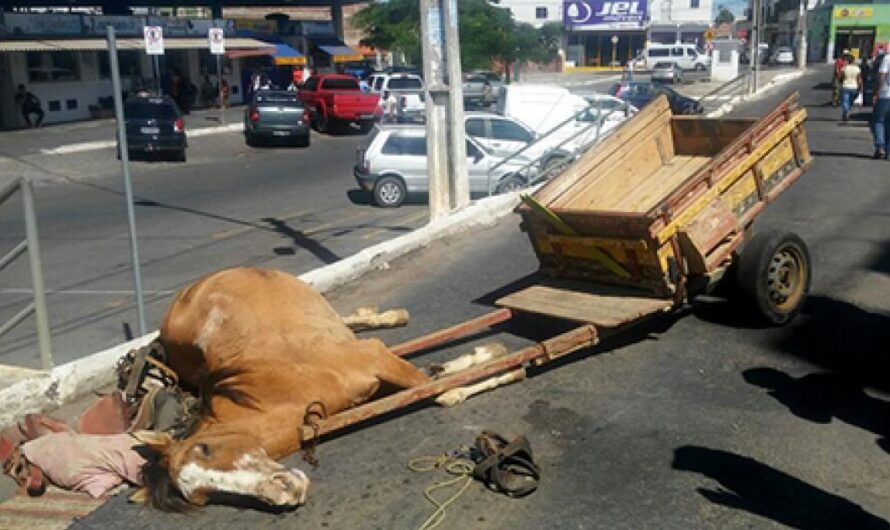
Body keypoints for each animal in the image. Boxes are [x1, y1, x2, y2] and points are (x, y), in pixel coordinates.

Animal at [133, 266, 434, 510]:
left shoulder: (373, 355)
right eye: (206, 496)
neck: (277, 390)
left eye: (205, 449)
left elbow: (429, 387)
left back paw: (389, 316)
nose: (282, 491)